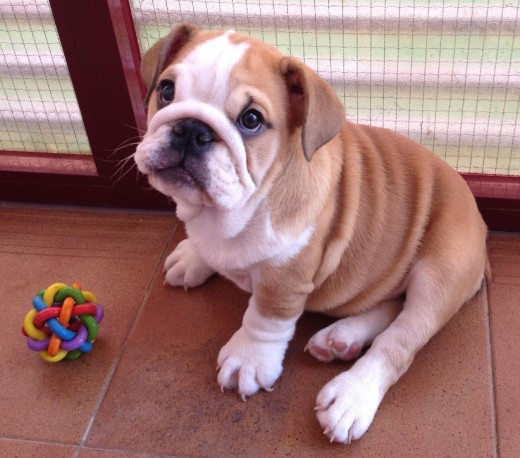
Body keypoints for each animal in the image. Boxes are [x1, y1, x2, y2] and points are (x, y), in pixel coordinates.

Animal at [133, 23, 488, 442]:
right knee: (391, 303)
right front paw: (195, 255)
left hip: (440, 274)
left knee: (401, 337)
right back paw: (342, 339)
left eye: (251, 119)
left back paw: (352, 394)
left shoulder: (285, 276)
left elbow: (265, 318)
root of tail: (482, 225)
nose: (191, 129)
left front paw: (249, 358)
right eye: (166, 91)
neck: (236, 208)